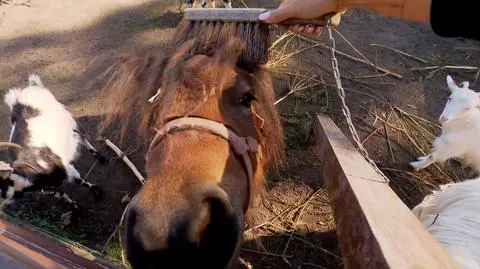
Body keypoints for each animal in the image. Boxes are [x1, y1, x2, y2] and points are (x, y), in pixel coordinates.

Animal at [0, 74, 106, 224]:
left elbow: (80, 181)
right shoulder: (47, 188)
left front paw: (97, 192)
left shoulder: (67, 170)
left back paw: (99, 156)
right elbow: (62, 195)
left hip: (66, 118)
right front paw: (75, 210)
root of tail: (32, 87)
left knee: (81, 136)